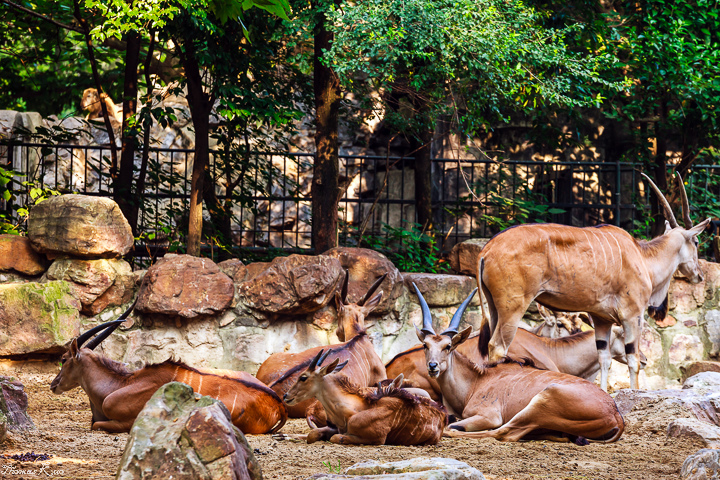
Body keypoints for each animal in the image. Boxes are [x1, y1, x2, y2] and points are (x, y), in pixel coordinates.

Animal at [50, 304, 288, 436]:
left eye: (64, 359)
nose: (53, 384)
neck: (120, 384)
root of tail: (279, 404)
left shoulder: (125, 422)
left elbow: (96, 425)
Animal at [280, 348, 444, 446]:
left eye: (303, 377)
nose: (286, 395)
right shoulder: (335, 428)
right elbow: (312, 434)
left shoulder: (376, 439)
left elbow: (335, 438)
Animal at [410, 284, 624, 444]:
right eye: (425, 345)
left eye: (448, 346)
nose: (432, 366)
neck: (476, 381)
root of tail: (616, 415)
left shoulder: (488, 416)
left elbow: (457, 424)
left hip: (541, 401)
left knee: (502, 433)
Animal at [476, 173, 704, 390]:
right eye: (696, 241)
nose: (700, 275)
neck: (642, 257)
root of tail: (487, 250)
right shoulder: (632, 317)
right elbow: (634, 360)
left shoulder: (602, 320)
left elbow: (604, 359)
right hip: (513, 308)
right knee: (498, 347)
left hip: (495, 309)